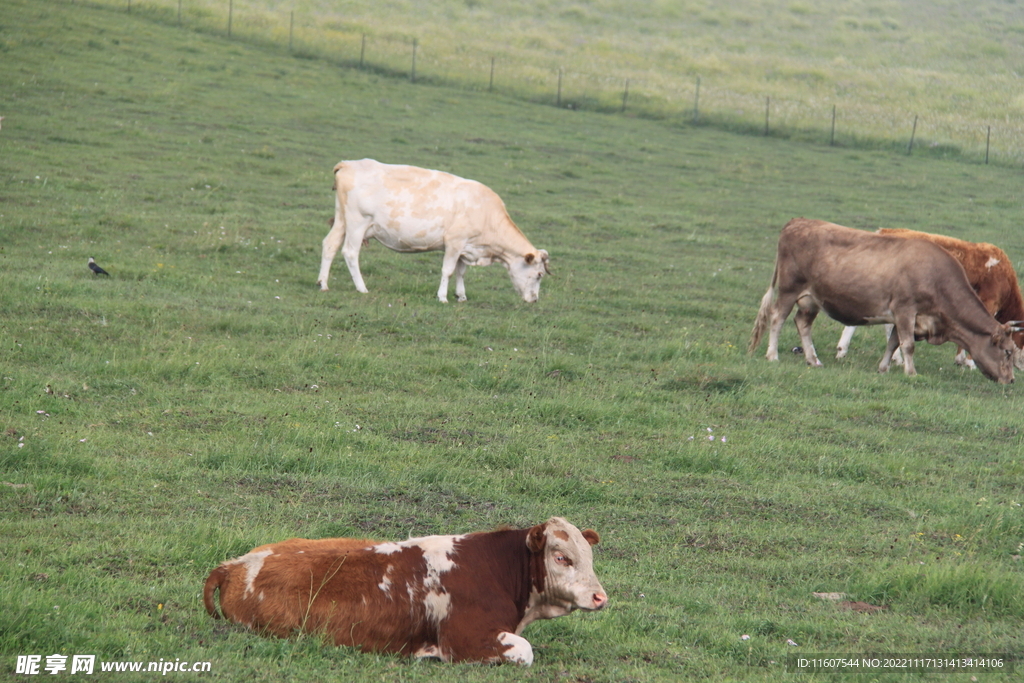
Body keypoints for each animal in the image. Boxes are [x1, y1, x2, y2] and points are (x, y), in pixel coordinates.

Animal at [203, 518, 602, 663]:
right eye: (562, 557)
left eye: (590, 555)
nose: (601, 597)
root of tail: (236, 563)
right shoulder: (464, 640)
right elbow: (525, 650)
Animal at [313, 158, 548, 303]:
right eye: (539, 275)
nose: (535, 300)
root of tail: (349, 164)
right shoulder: (454, 241)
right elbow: (448, 270)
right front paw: (443, 297)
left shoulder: (466, 246)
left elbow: (461, 272)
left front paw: (461, 296)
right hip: (357, 222)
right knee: (350, 252)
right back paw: (361, 287)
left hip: (342, 220)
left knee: (330, 245)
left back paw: (323, 284)